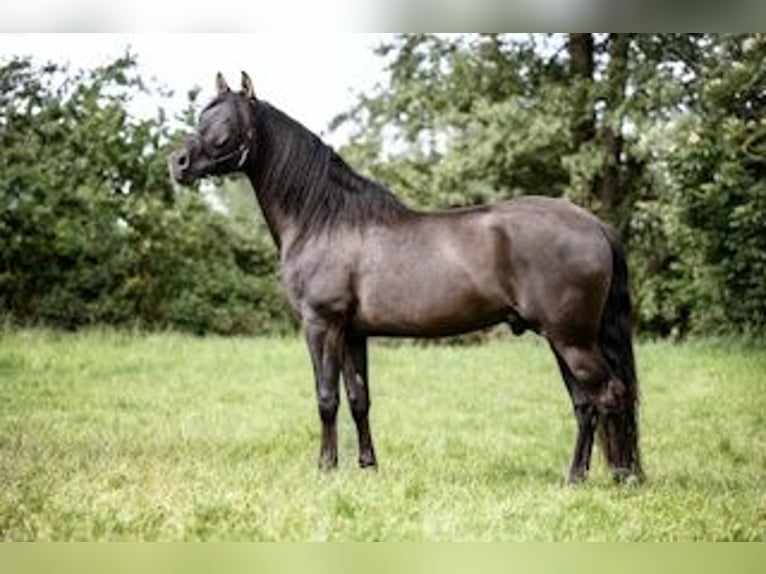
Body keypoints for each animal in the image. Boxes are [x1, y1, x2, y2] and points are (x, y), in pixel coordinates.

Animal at [171, 72, 644, 486]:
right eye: (202, 116)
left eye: (225, 125)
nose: (177, 163)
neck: (324, 219)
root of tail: (595, 225)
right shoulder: (352, 333)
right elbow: (358, 399)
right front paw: (367, 467)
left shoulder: (321, 324)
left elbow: (326, 398)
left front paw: (326, 469)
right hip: (564, 339)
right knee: (585, 405)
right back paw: (578, 477)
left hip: (571, 338)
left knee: (610, 395)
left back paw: (620, 477)